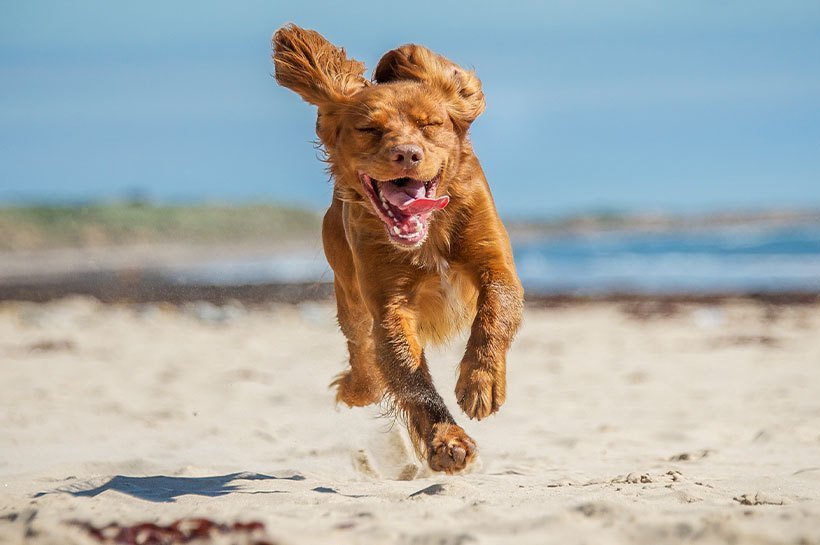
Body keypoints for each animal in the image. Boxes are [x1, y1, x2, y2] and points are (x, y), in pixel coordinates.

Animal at [272, 24, 524, 472]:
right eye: (369, 129)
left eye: (430, 124)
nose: (407, 153)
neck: (428, 232)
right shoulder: (389, 304)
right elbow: (409, 373)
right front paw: (446, 440)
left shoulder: (495, 263)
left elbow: (498, 310)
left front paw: (481, 381)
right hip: (350, 297)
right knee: (364, 356)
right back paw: (357, 387)